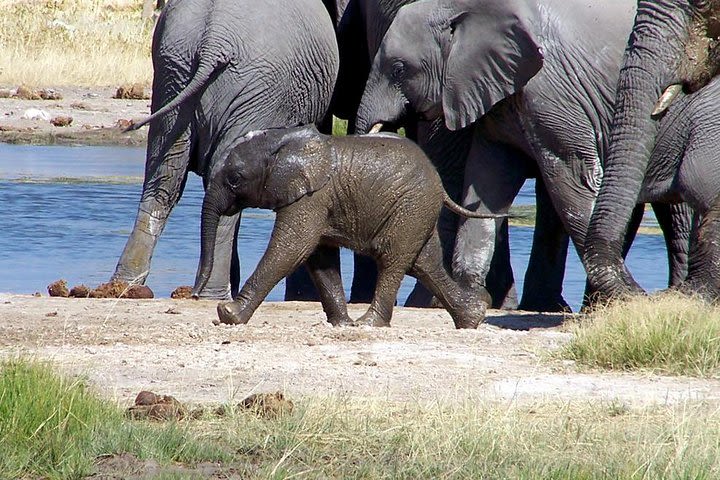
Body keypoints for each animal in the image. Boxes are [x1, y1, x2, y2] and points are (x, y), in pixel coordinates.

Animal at [112, 0, 338, 298]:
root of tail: (212, 40)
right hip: (256, 88)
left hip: (173, 74)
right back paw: (213, 293)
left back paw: (123, 286)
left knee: (163, 179)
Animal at [191, 125, 496, 328]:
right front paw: (341, 325)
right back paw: (473, 318)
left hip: (411, 206)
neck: (282, 140)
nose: (193, 295)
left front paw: (228, 314)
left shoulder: (313, 196)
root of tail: (440, 185)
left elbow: (292, 249)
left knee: (393, 259)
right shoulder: (319, 200)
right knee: (424, 263)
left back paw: (369, 324)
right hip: (417, 211)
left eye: (235, 179)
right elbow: (319, 258)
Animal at [354, 0, 692, 312]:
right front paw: (473, 297)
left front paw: (630, 299)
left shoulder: (551, 92)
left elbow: (573, 181)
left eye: (399, 69)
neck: (463, 7)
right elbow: (486, 181)